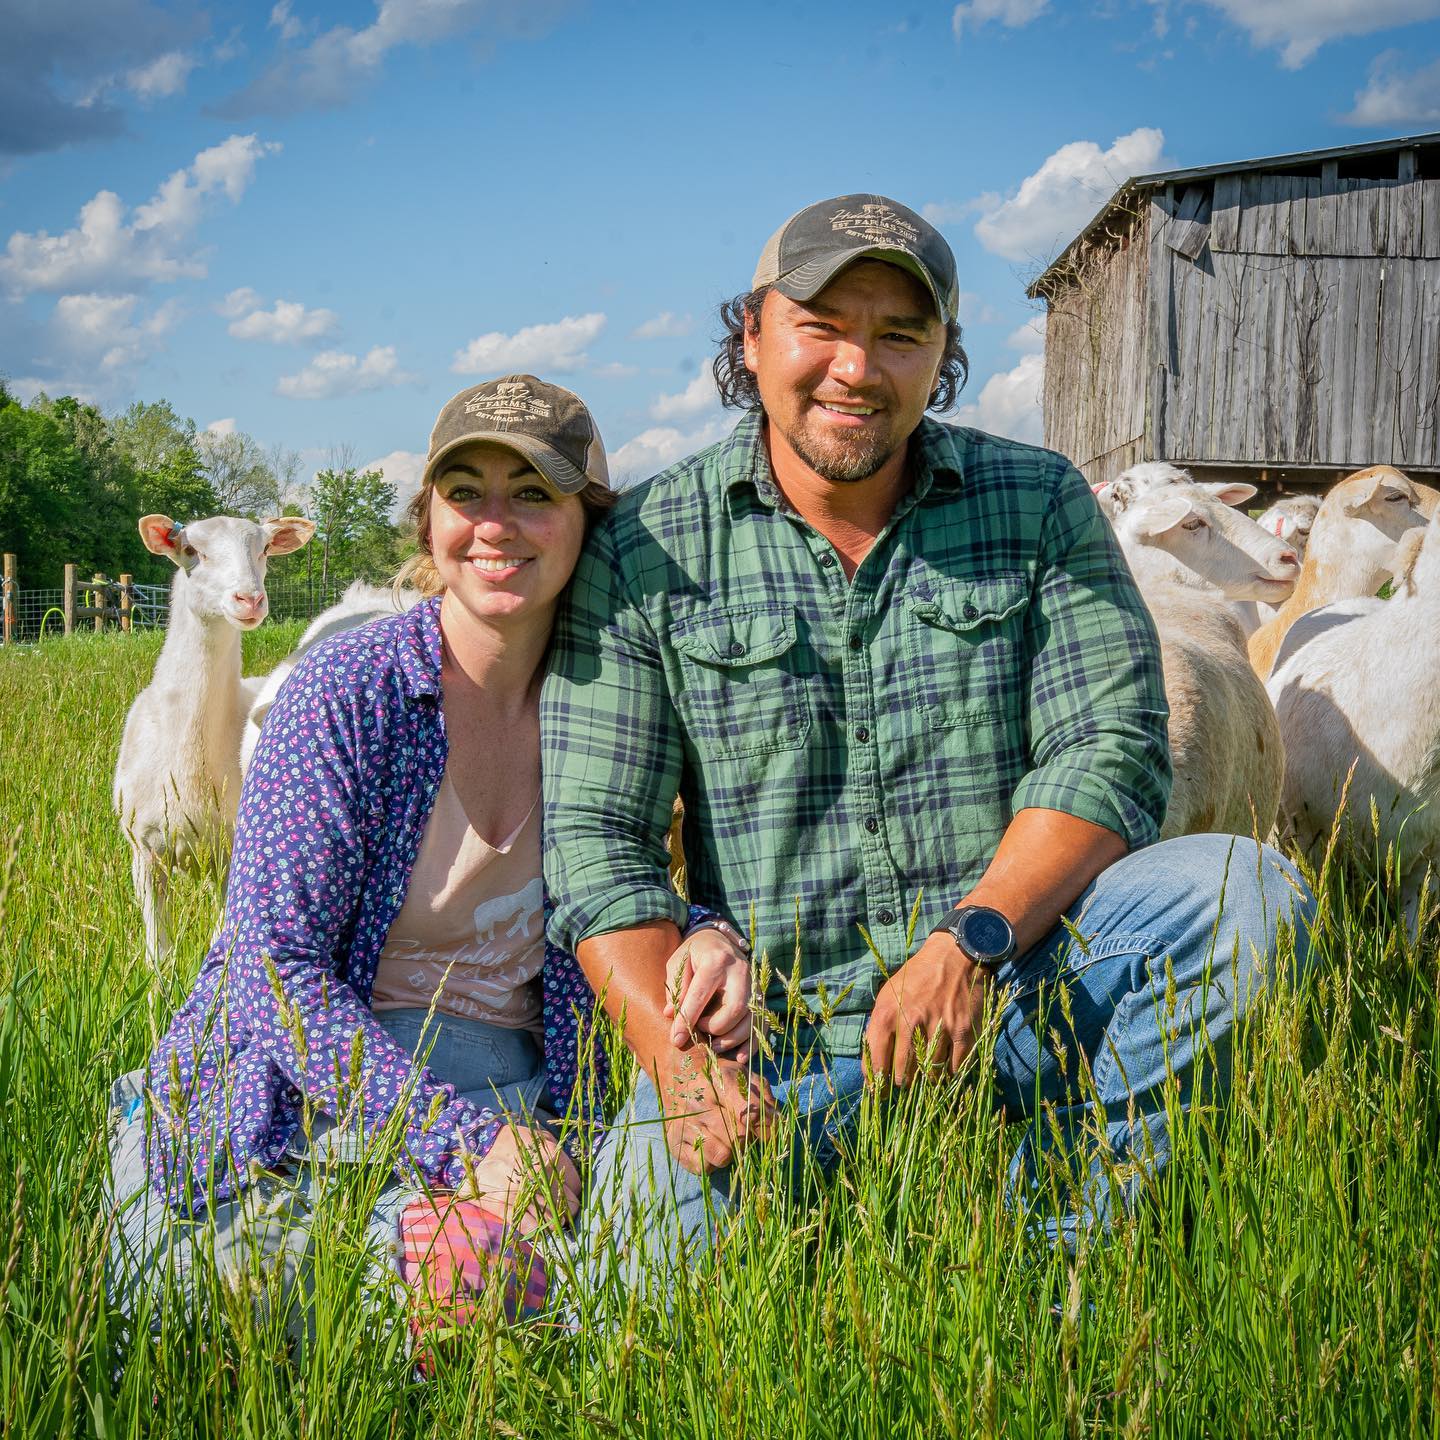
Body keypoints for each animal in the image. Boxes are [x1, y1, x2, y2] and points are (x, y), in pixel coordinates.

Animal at [115, 509, 315, 967]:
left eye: (264, 549)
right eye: (191, 550)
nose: (250, 600)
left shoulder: (231, 853)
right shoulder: (143, 850)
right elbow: (159, 954)